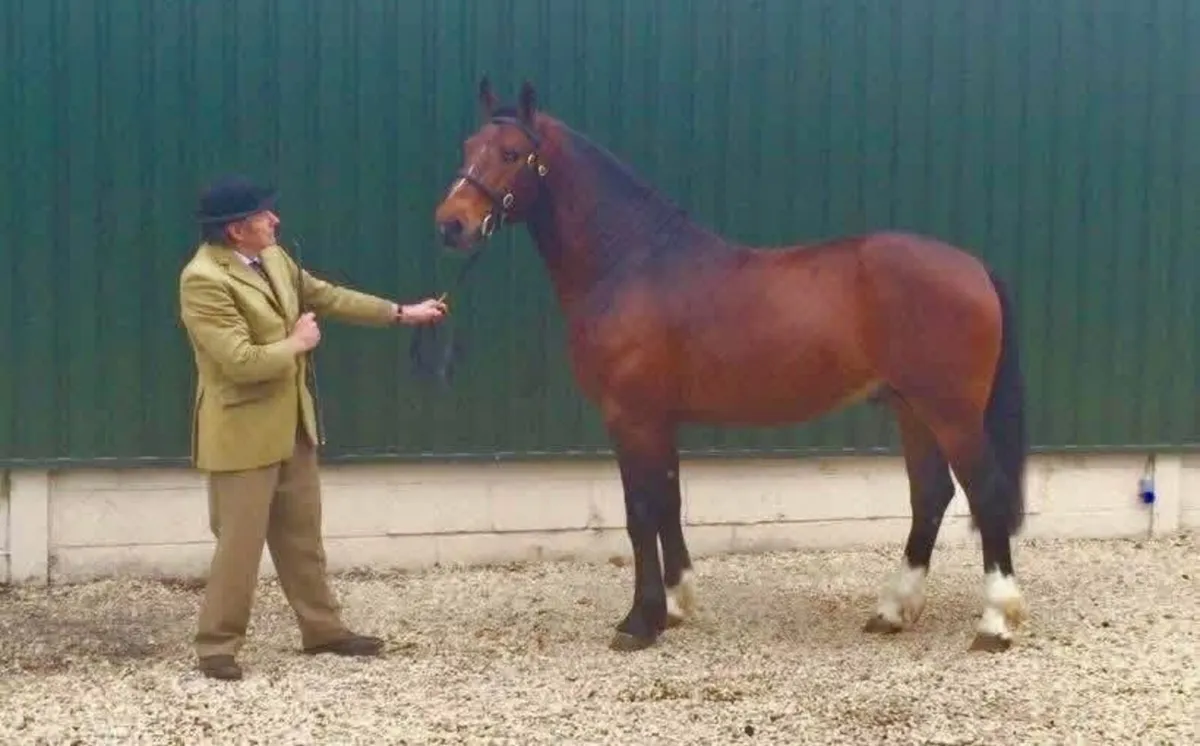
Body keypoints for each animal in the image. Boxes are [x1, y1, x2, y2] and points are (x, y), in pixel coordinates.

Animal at [433, 78, 1029, 654]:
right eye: (466, 146)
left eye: (511, 153)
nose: (451, 225)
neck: (631, 262)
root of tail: (973, 266)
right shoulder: (659, 420)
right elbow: (668, 500)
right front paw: (676, 604)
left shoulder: (630, 416)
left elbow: (639, 510)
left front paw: (639, 621)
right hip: (911, 408)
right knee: (930, 495)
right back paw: (892, 611)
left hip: (950, 412)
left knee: (985, 491)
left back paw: (996, 621)